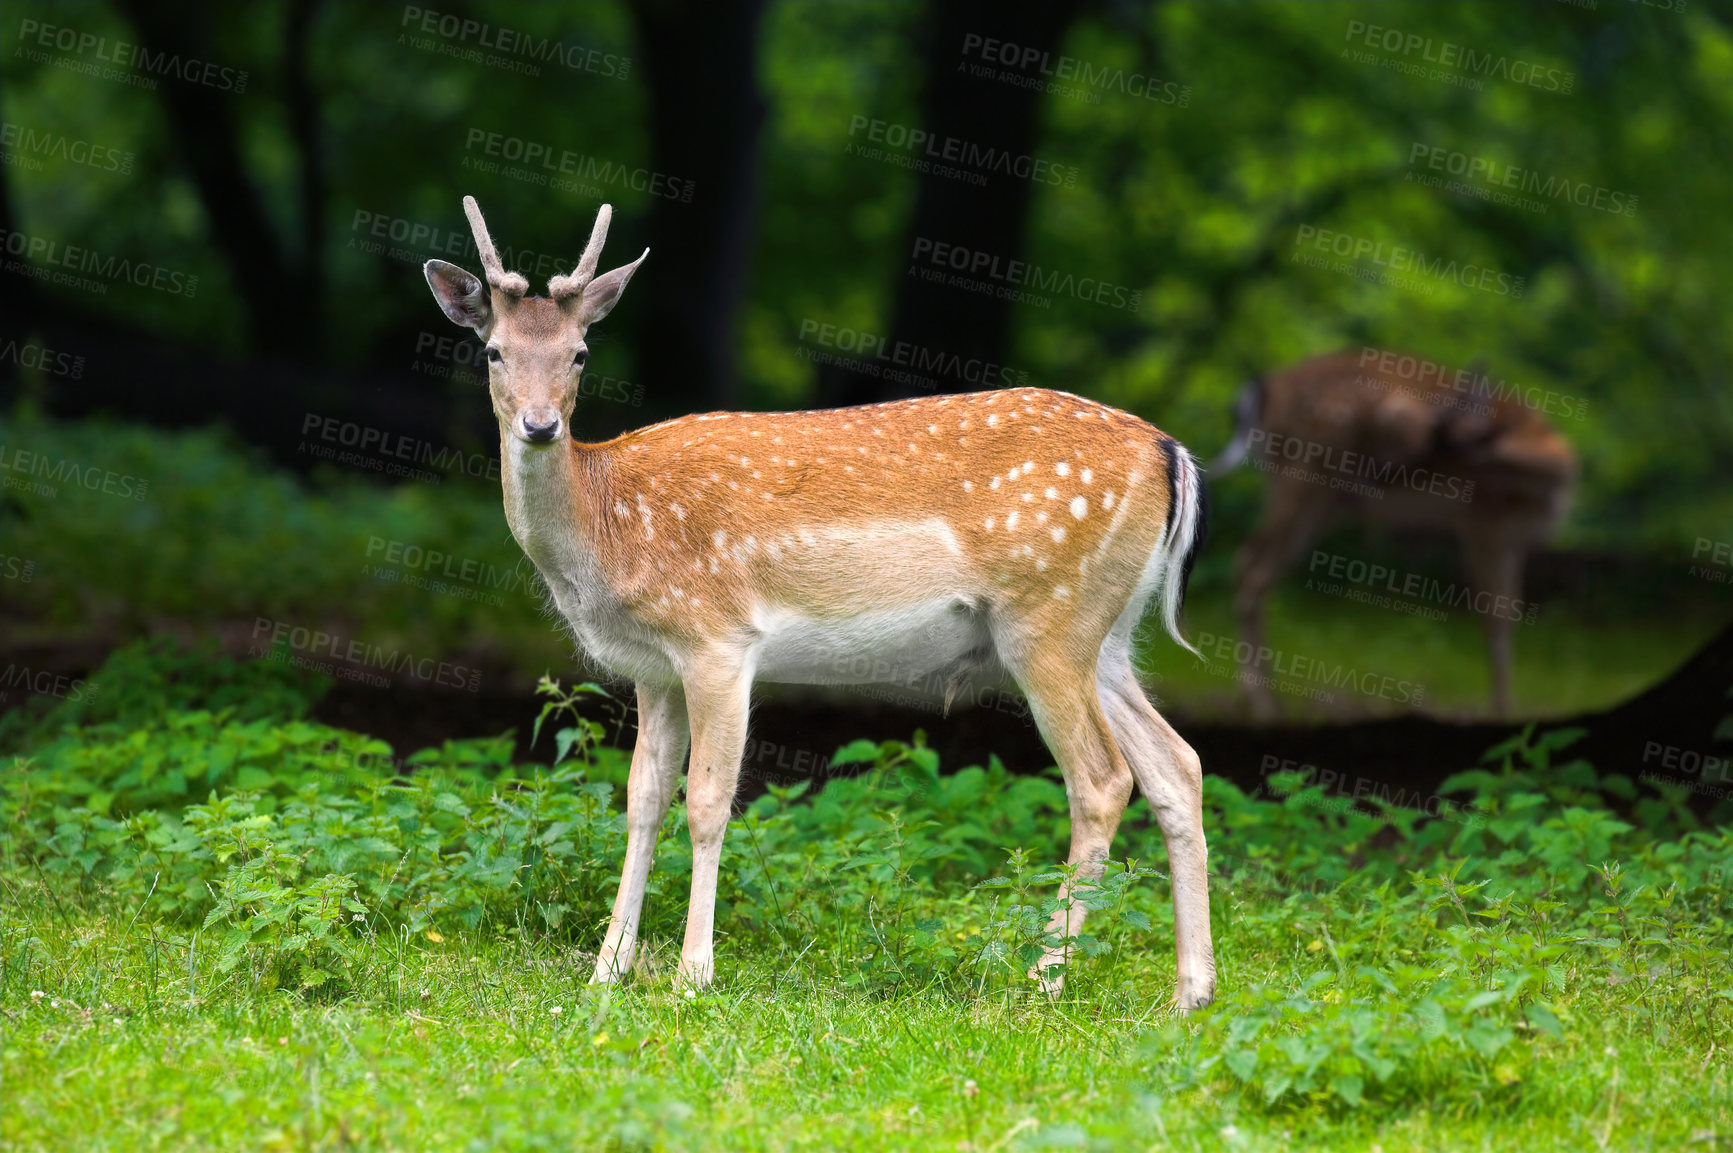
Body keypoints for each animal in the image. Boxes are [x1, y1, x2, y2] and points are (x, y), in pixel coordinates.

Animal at [419, 197, 1220, 1005]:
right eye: (493, 351)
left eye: (580, 352)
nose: (540, 424)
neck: (608, 525)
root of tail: (1172, 455)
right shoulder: (653, 668)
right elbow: (641, 799)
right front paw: (606, 970)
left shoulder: (717, 637)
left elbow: (707, 800)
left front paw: (692, 974)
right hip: (1106, 634)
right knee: (1177, 765)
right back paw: (1191, 991)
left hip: (1048, 616)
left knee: (1102, 777)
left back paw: (1044, 979)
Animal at [1213, 346, 1580, 714]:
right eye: (1405, 428)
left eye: (1437, 443)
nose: (1381, 473)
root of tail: (1261, 389)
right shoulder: (1483, 526)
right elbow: (1494, 614)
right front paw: (1501, 711)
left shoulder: (1512, 539)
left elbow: (1510, 612)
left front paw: (1506, 707)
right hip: (1304, 475)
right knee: (1252, 569)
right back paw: (1262, 704)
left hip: (1320, 502)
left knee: (1251, 563)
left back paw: (1265, 696)